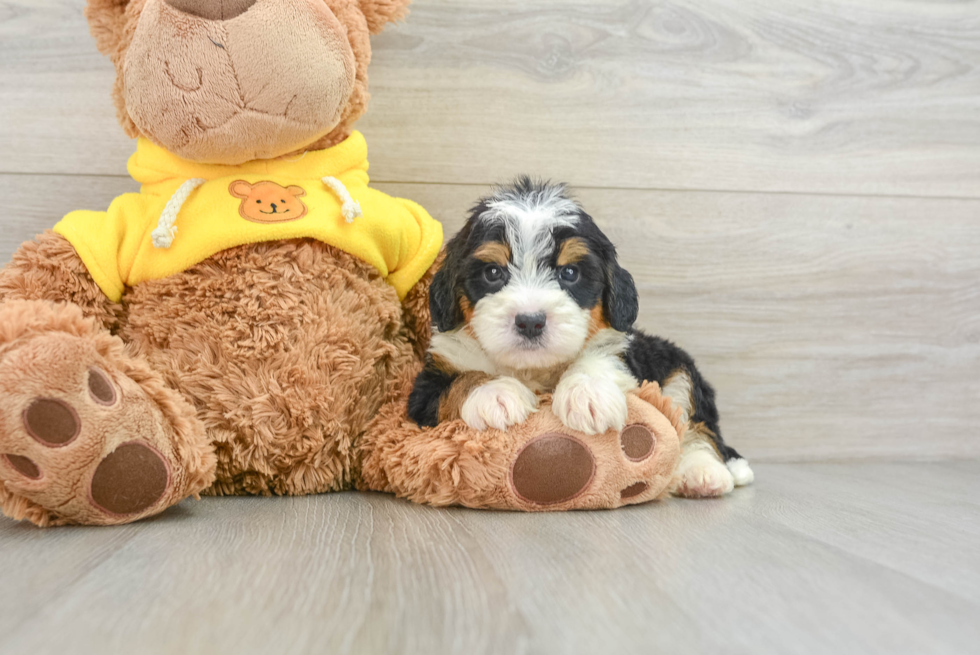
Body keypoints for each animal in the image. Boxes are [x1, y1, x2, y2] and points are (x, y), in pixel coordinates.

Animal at [410, 178, 756, 498]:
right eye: (493, 273)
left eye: (570, 273)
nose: (530, 322)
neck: (534, 370)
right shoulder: (426, 389)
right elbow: (461, 381)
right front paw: (496, 393)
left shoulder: (623, 353)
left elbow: (600, 359)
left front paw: (588, 394)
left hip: (679, 369)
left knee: (698, 427)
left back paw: (705, 472)